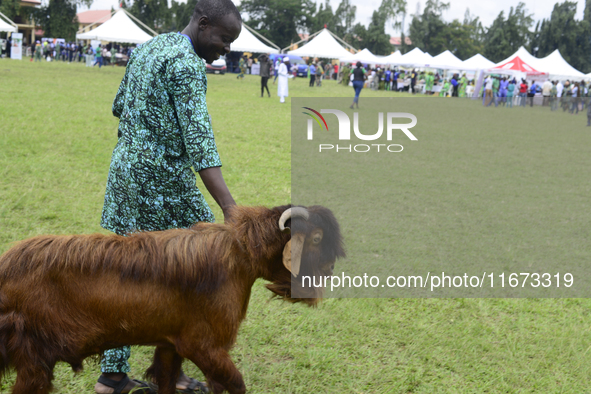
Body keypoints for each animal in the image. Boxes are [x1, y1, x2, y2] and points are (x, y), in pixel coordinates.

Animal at [0, 205, 346, 394]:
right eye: (316, 239)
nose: (330, 270)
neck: (240, 256)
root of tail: (6, 267)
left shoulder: (171, 342)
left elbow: (167, 380)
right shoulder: (203, 346)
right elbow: (235, 384)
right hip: (33, 356)